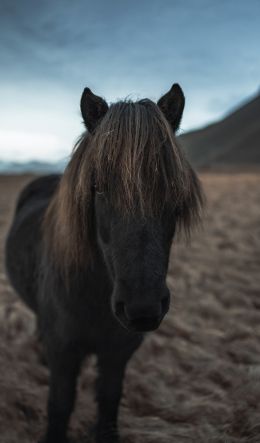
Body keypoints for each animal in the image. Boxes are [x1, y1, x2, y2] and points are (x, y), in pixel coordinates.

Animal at [4, 84, 203, 443]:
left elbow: (109, 402)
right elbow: (60, 404)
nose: (142, 308)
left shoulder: (117, 354)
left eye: (174, 189)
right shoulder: (64, 354)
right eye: (97, 186)